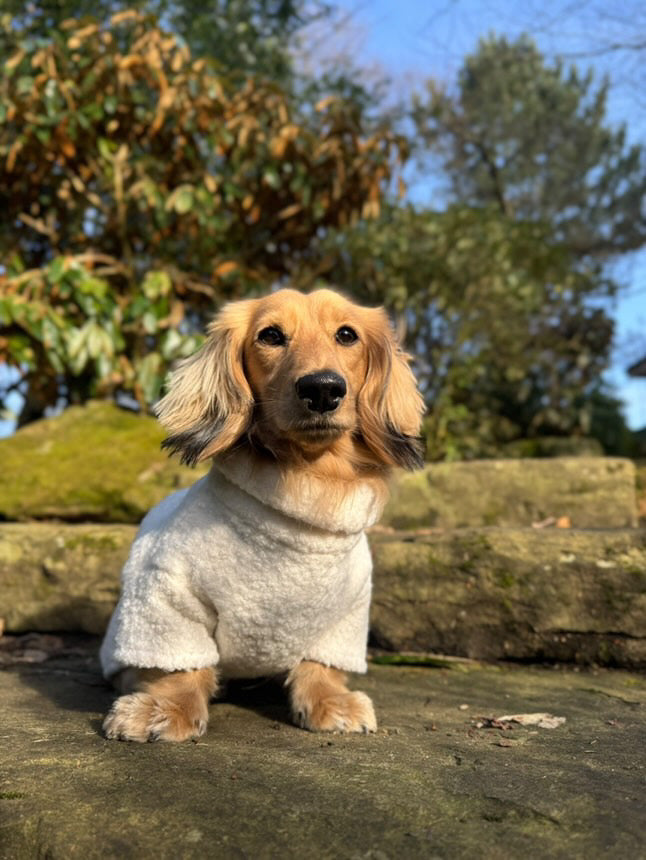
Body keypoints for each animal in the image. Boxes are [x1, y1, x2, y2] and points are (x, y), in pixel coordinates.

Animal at [101, 288, 426, 740]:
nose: (323, 389)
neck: (306, 485)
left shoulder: (346, 615)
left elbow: (321, 664)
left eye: (347, 334)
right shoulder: (168, 598)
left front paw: (330, 701)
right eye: (270, 335)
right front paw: (166, 708)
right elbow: (181, 667)